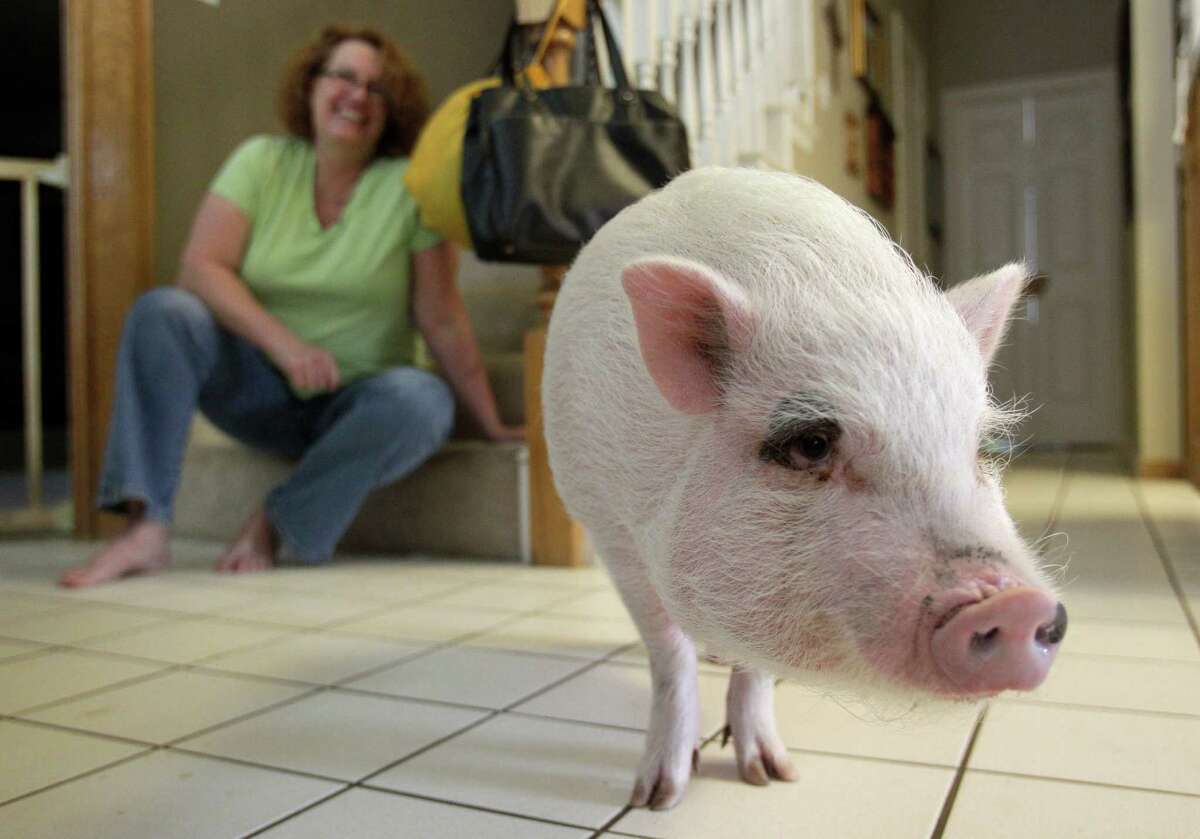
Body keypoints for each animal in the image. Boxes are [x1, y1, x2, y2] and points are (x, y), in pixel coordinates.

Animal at [541, 167, 1068, 810]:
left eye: (986, 448)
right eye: (811, 444)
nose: (1017, 604)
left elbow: (757, 666)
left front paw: (771, 776)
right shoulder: (609, 523)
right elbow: (667, 652)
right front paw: (658, 798)